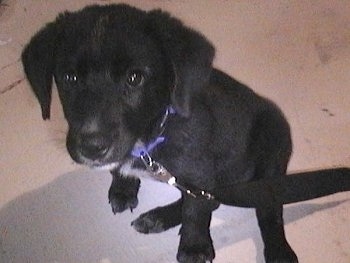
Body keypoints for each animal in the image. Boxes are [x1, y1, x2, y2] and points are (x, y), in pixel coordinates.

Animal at [22, 4, 350, 263]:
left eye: (135, 78)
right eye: (69, 78)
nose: (92, 146)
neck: (152, 137)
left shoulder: (199, 170)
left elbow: (196, 210)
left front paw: (193, 247)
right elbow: (126, 172)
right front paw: (123, 187)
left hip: (271, 151)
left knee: (266, 206)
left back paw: (279, 251)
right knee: (215, 199)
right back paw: (158, 217)